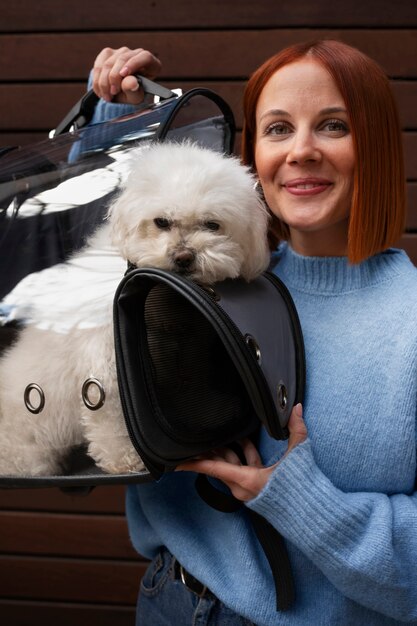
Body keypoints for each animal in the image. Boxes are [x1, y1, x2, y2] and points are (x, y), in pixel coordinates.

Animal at [0, 141, 270, 472]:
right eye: (161, 222)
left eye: (212, 224)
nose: (183, 256)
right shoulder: (106, 370)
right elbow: (112, 421)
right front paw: (126, 459)